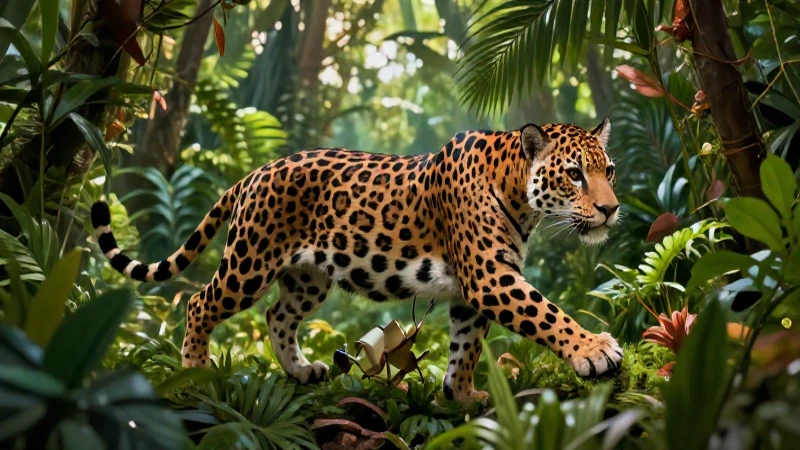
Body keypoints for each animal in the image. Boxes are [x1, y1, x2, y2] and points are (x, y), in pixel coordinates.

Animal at [91, 119, 623, 404]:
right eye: (574, 174)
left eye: (610, 170)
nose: (611, 209)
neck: (519, 192)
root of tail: (254, 172)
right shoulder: (490, 277)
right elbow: (547, 314)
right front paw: (595, 350)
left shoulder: (472, 289)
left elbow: (466, 347)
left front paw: (460, 394)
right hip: (249, 263)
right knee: (199, 303)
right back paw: (197, 373)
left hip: (307, 277)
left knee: (277, 314)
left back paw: (301, 371)